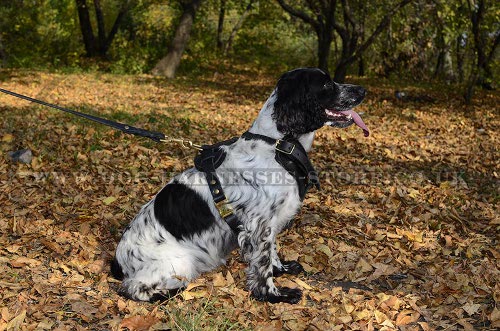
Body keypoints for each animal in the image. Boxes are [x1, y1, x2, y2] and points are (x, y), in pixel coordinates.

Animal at [111, 68, 368, 304]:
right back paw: (166, 294)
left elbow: (271, 252)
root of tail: (118, 260)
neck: (277, 146)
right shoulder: (259, 224)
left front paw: (281, 269)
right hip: (178, 263)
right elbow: (262, 264)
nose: (362, 90)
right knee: (134, 288)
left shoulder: (269, 223)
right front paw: (274, 295)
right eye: (326, 84)